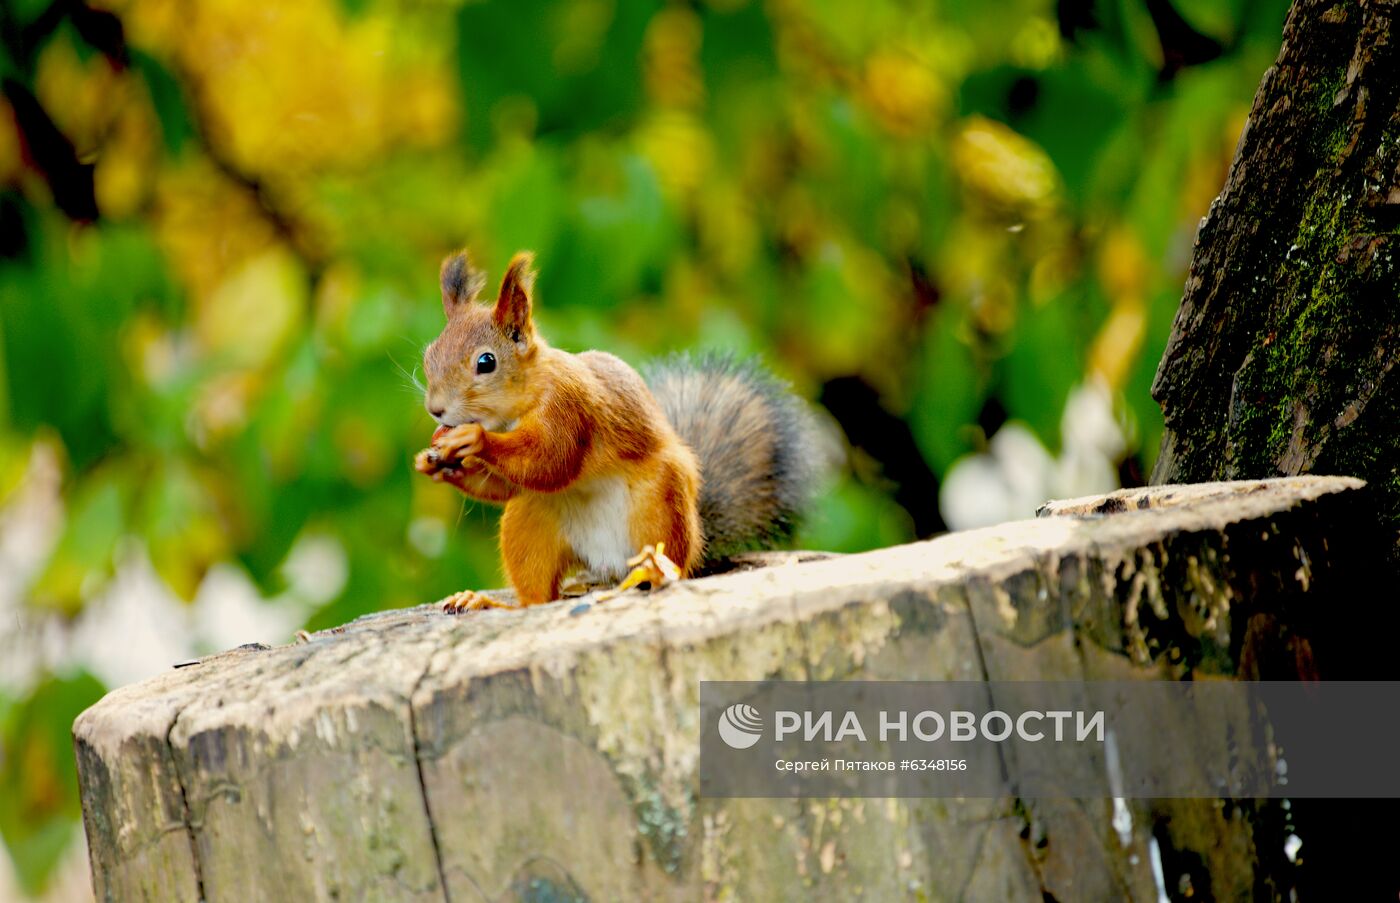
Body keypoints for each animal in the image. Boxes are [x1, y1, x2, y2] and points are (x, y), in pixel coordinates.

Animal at [408, 250, 817, 610]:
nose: (435, 409)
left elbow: (549, 461)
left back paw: (653, 573)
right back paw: (488, 603)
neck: (521, 402)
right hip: (531, 523)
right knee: (537, 597)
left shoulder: (568, 408)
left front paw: (473, 439)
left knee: (670, 564)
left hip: (660, 506)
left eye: (486, 362)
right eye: (429, 356)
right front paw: (434, 462)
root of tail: (609, 566)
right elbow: (507, 485)